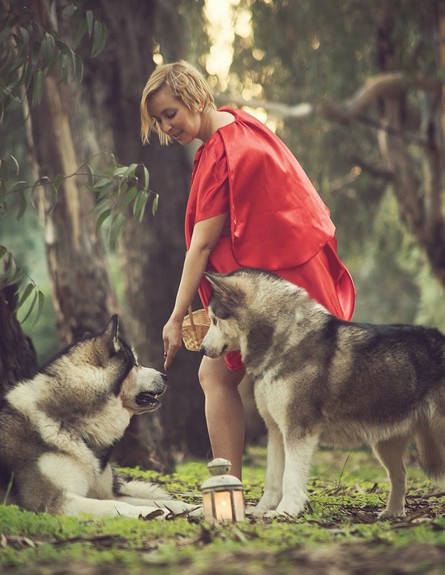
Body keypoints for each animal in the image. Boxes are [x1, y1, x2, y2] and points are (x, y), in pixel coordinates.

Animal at [0, 318, 199, 520]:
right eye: (135, 364)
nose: (165, 376)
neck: (68, 425)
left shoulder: (104, 493)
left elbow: (165, 502)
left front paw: (196, 508)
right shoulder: (49, 502)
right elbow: (116, 506)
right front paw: (153, 513)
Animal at [199, 268, 444, 516]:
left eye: (214, 319)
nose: (201, 348)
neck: (284, 340)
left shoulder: (297, 430)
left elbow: (290, 477)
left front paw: (285, 511)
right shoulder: (276, 430)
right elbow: (273, 478)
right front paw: (261, 511)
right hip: (386, 443)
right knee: (400, 476)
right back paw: (392, 513)